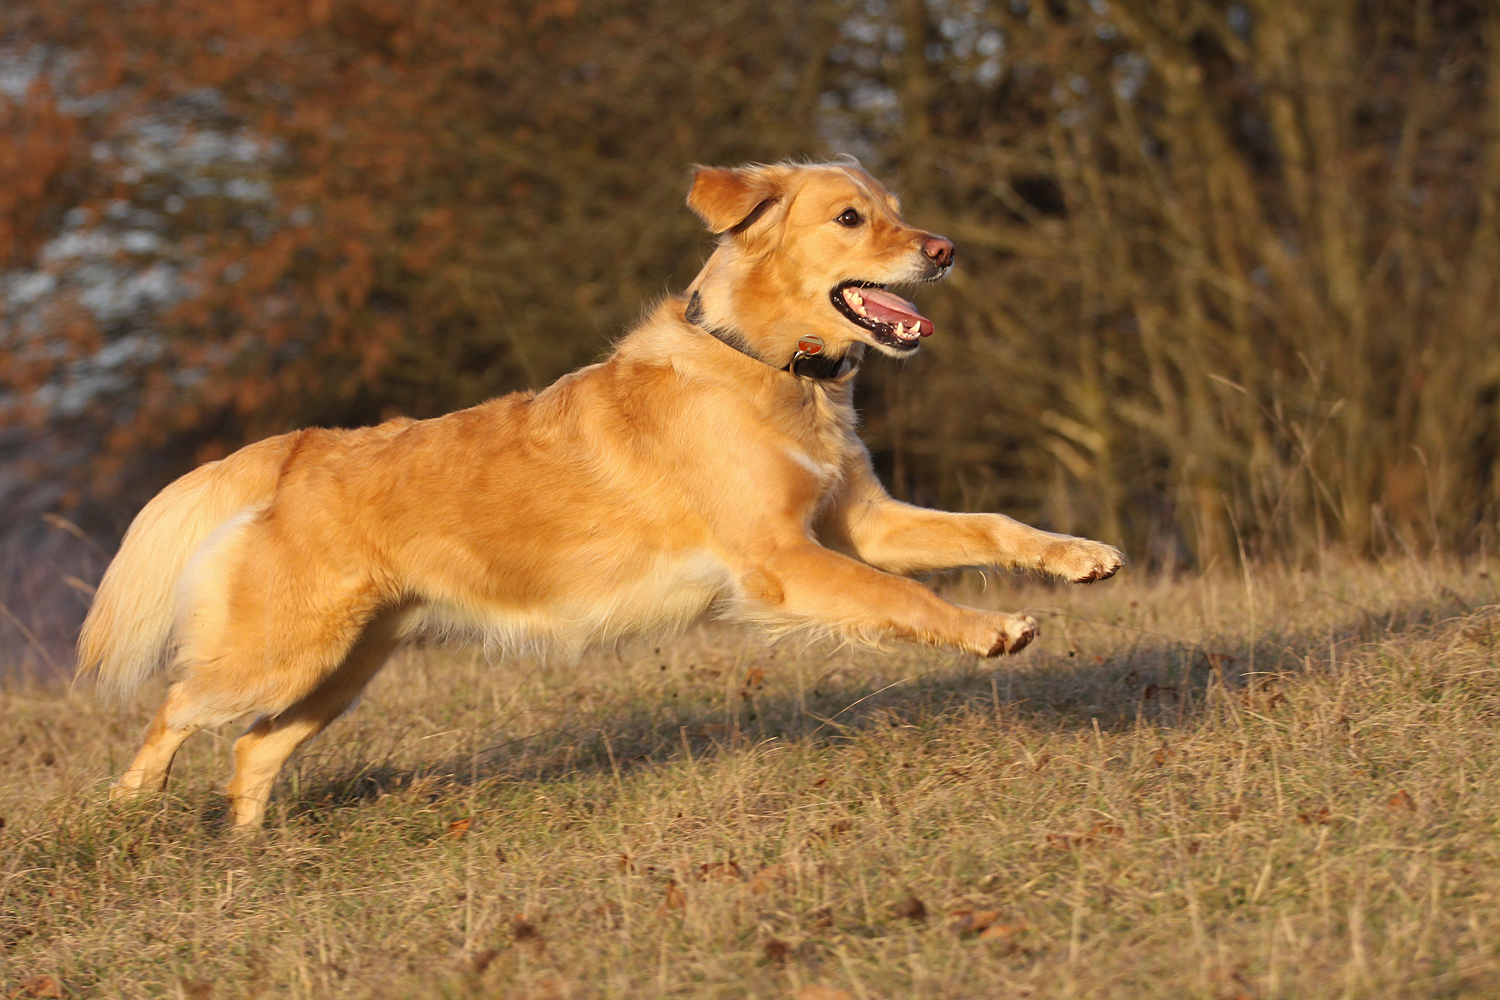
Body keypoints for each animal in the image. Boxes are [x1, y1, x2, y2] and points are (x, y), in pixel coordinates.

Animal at [76, 158, 1122, 827]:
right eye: (849, 219)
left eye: (896, 208)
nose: (945, 249)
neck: (767, 367)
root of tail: (302, 447)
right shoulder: (785, 560)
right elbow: (903, 596)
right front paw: (989, 629)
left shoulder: (862, 519)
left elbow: (987, 526)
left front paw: (1078, 557)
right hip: (276, 658)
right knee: (173, 713)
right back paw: (122, 817)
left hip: (342, 668)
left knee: (250, 753)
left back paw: (254, 854)